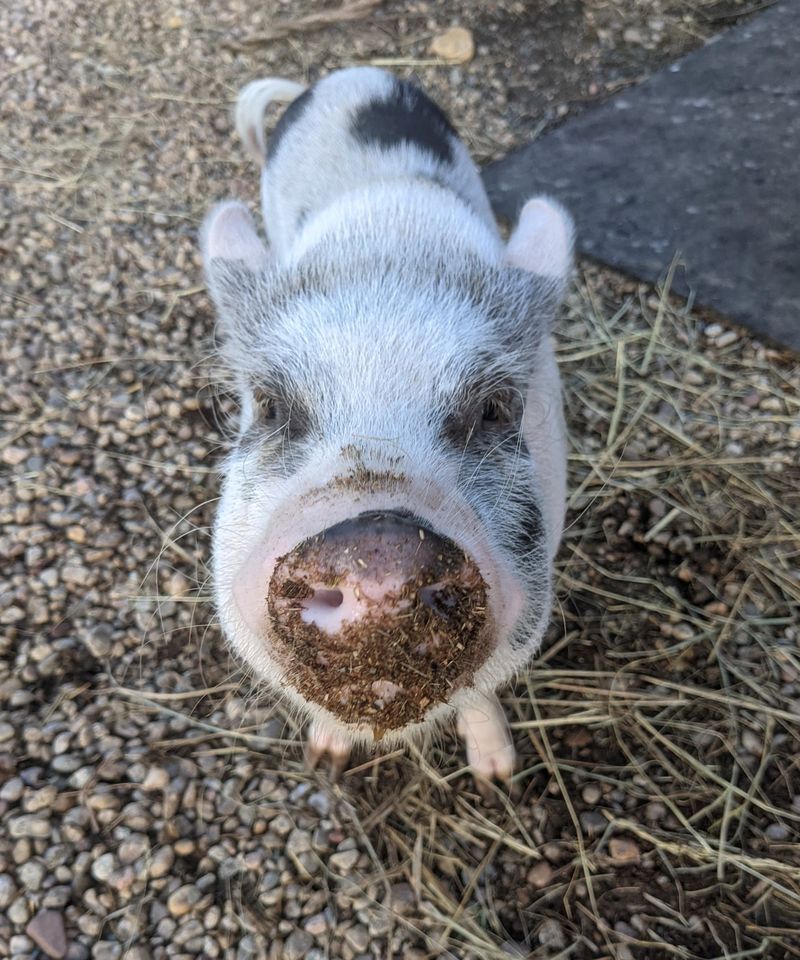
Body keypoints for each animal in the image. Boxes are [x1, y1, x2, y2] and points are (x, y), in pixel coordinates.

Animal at [201, 67, 572, 787]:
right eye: (269, 403)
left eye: (495, 407)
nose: (380, 553)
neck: (391, 253)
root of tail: (345, 76)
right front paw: (324, 761)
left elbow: (481, 691)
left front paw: (497, 776)